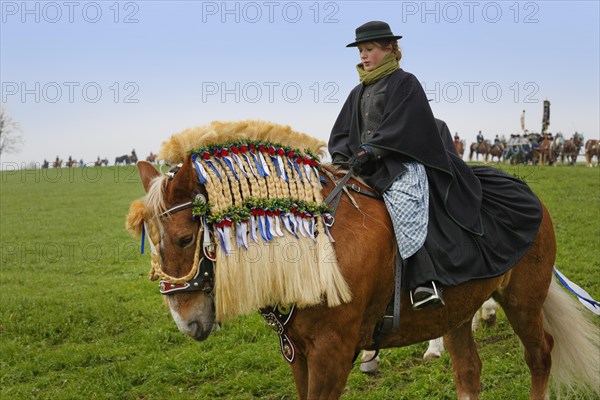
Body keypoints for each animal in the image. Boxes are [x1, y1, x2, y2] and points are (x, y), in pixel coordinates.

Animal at [127, 119, 600, 400]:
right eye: (152, 242)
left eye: (185, 239)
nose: (187, 321)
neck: (315, 246)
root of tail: (529, 192)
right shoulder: (298, 353)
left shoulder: (333, 354)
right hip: (457, 311)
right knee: (469, 372)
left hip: (523, 299)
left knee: (541, 355)